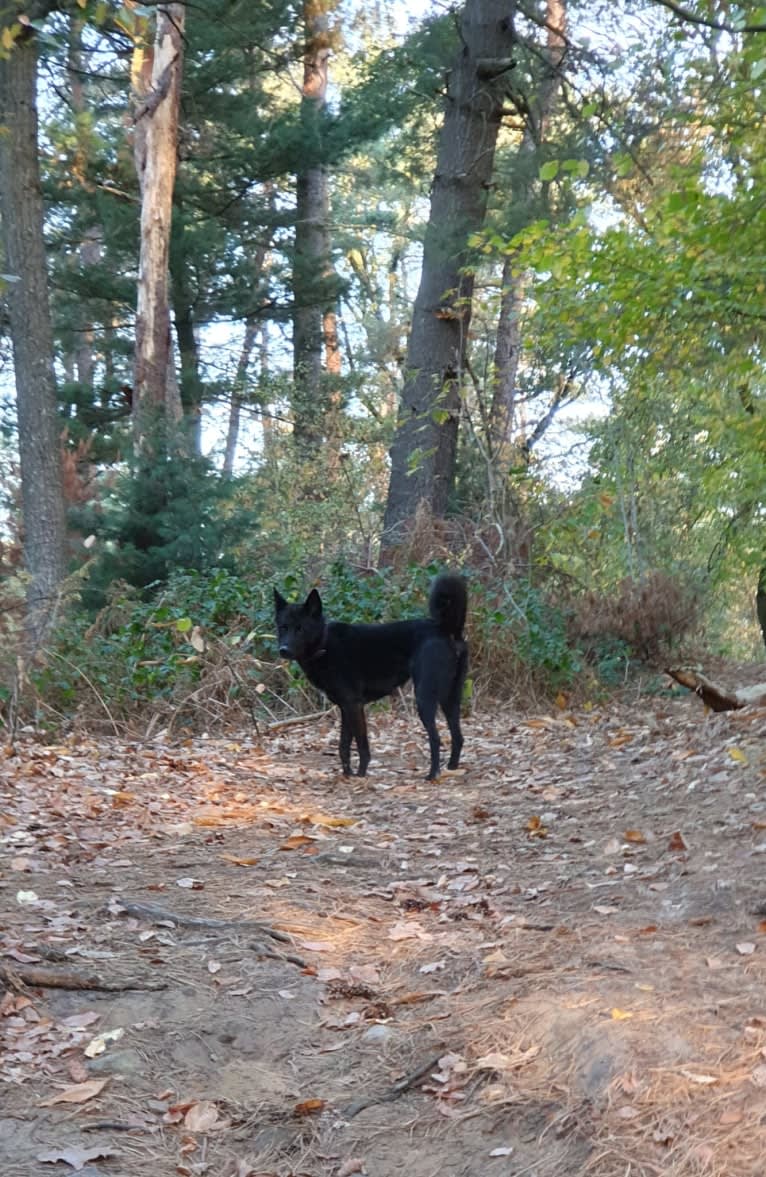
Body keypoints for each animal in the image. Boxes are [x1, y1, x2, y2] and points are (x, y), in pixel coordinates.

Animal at [272, 572, 470, 776]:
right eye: (283, 627)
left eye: (300, 628)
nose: (283, 650)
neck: (325, 643)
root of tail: (445, 629)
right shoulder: (346, 708)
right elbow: (343, 746)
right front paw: (347, 775)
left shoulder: (353, 705)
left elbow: (361, 746)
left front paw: (360, 775)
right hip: (450, 698)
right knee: (458, 737)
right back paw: (452, 768)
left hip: (425, 697)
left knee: (436, 738)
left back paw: (432, 775)